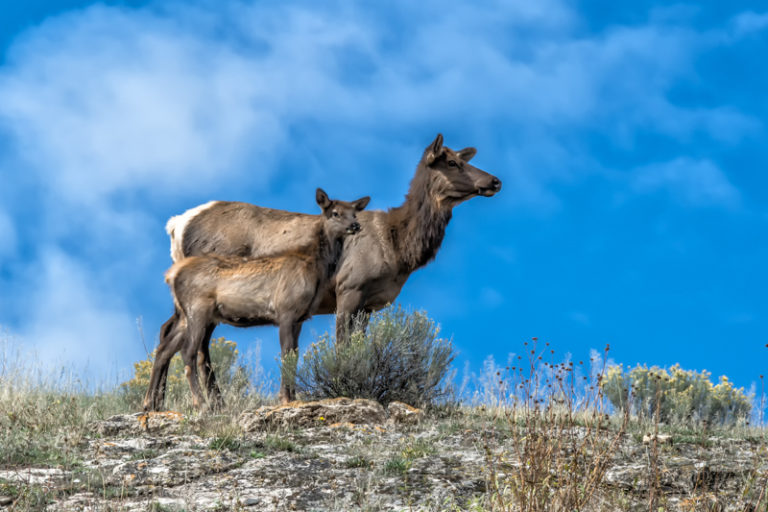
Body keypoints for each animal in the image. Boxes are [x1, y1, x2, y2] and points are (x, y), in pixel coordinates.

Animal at [146, 190, 372, 410]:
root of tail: (171, 275)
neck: (315, 269)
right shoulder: (286, 310)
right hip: (198, 310)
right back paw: (201, 404)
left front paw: (292, 396)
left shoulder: (300, 317)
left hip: (187, 315)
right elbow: (286, 354)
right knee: (189, 351)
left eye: (354, 213)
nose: (355, 225)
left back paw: (151, 404)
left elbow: (294, 355)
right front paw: (285, 398)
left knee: (165, 346)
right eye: (335, 213)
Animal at [166, 132, 504, 342]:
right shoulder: (349, 287)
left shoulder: (370, 304)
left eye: (463, 159)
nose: (495, 181)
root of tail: (177, 224)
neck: (399, 249)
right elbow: (342, 347)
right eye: (452, 162)